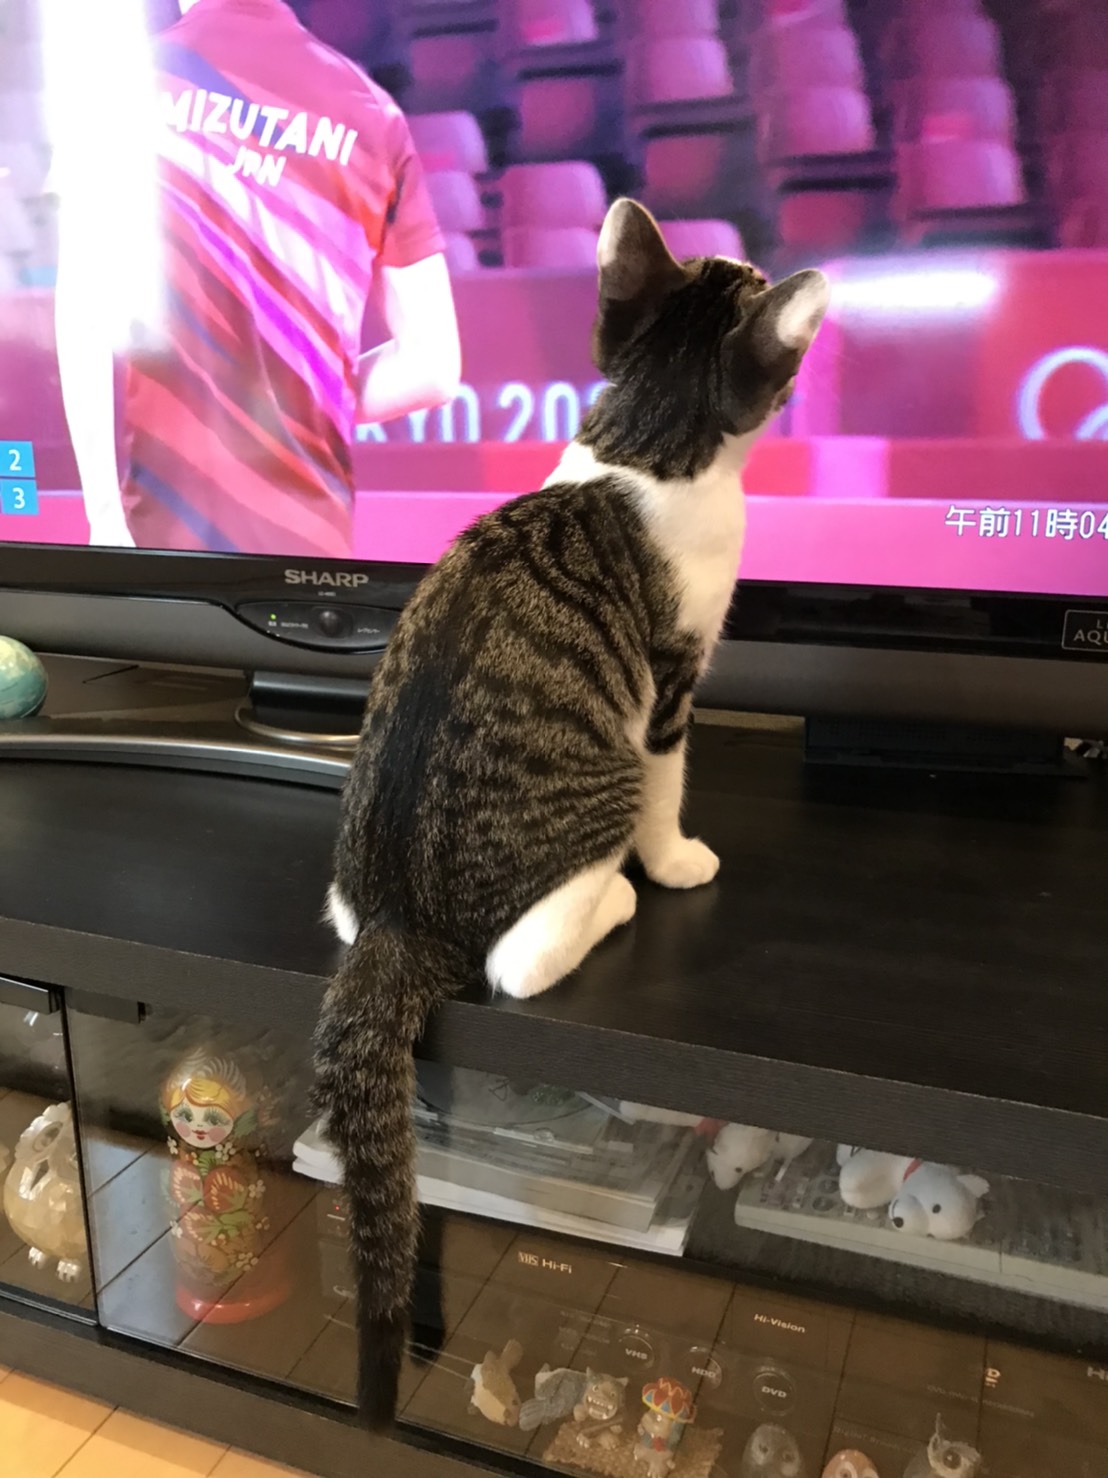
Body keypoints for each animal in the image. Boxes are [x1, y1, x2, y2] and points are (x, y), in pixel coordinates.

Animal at [313, 197, 830, 1428]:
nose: (750, 249)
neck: (642, 444)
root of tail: (398, 914)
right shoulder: (674, 676)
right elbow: (671, 781)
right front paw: (679, 861)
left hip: (344, 869)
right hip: (584, 805)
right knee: (521, 960)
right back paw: (615, 904)